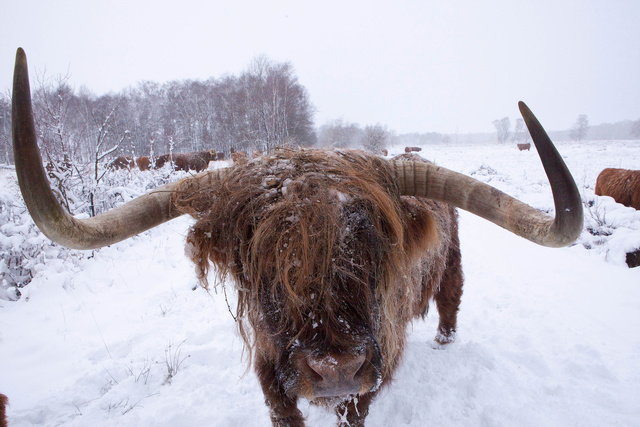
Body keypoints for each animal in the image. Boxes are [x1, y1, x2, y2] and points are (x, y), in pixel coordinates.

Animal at [10, 48, 584, 426]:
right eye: (259, 258)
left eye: (377, 243)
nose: (335, 368)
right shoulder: (271, 372)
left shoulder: (372, 370)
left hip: (453, 266)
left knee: (450, 299)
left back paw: (444, 342)